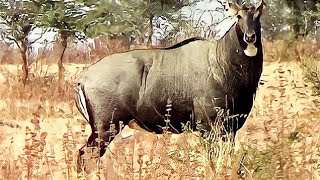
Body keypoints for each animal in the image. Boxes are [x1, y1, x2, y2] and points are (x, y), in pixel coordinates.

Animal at [75, 0, 264, 157]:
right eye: (239, 16)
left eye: (258, 16)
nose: (250, 37)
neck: (219, 61)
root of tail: (83, 77)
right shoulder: (208, 126)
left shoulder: (232, 127)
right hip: (105, 128)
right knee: (86, 154)